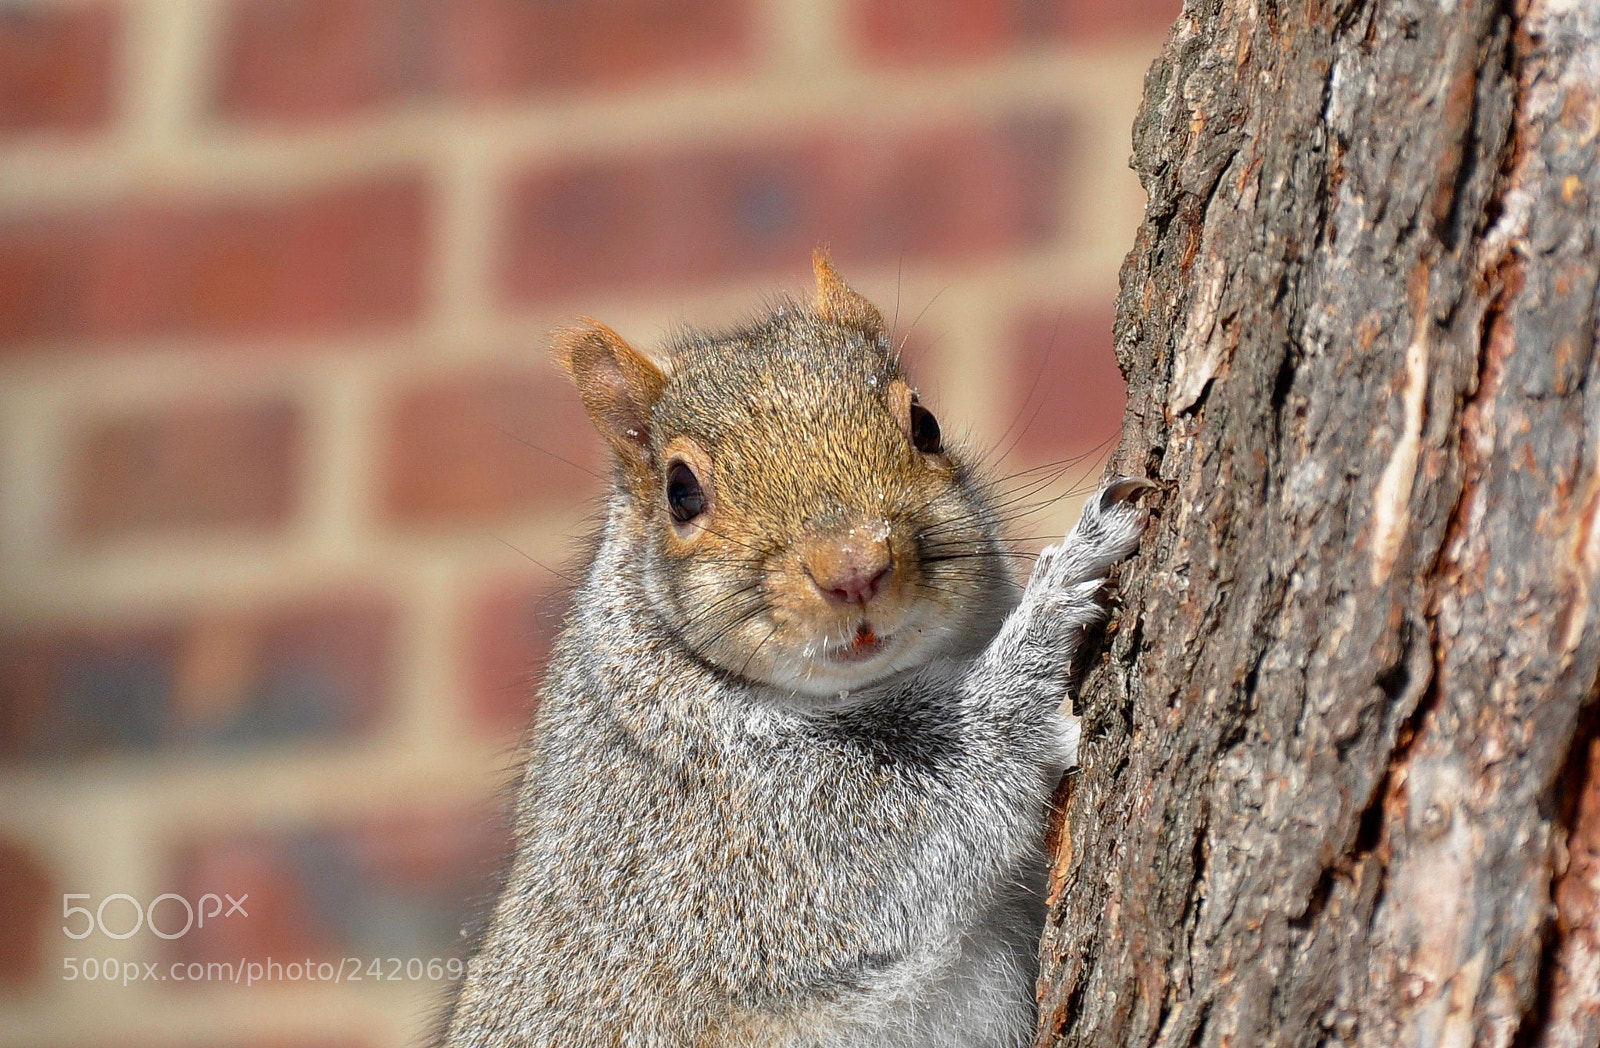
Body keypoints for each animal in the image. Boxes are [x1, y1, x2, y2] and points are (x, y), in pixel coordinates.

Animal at [441, 252, 1150, 1048]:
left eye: (925, 425)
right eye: (681, 492)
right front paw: (1057, 597)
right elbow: (917, 812)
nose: (855, 568)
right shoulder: (709, 843)